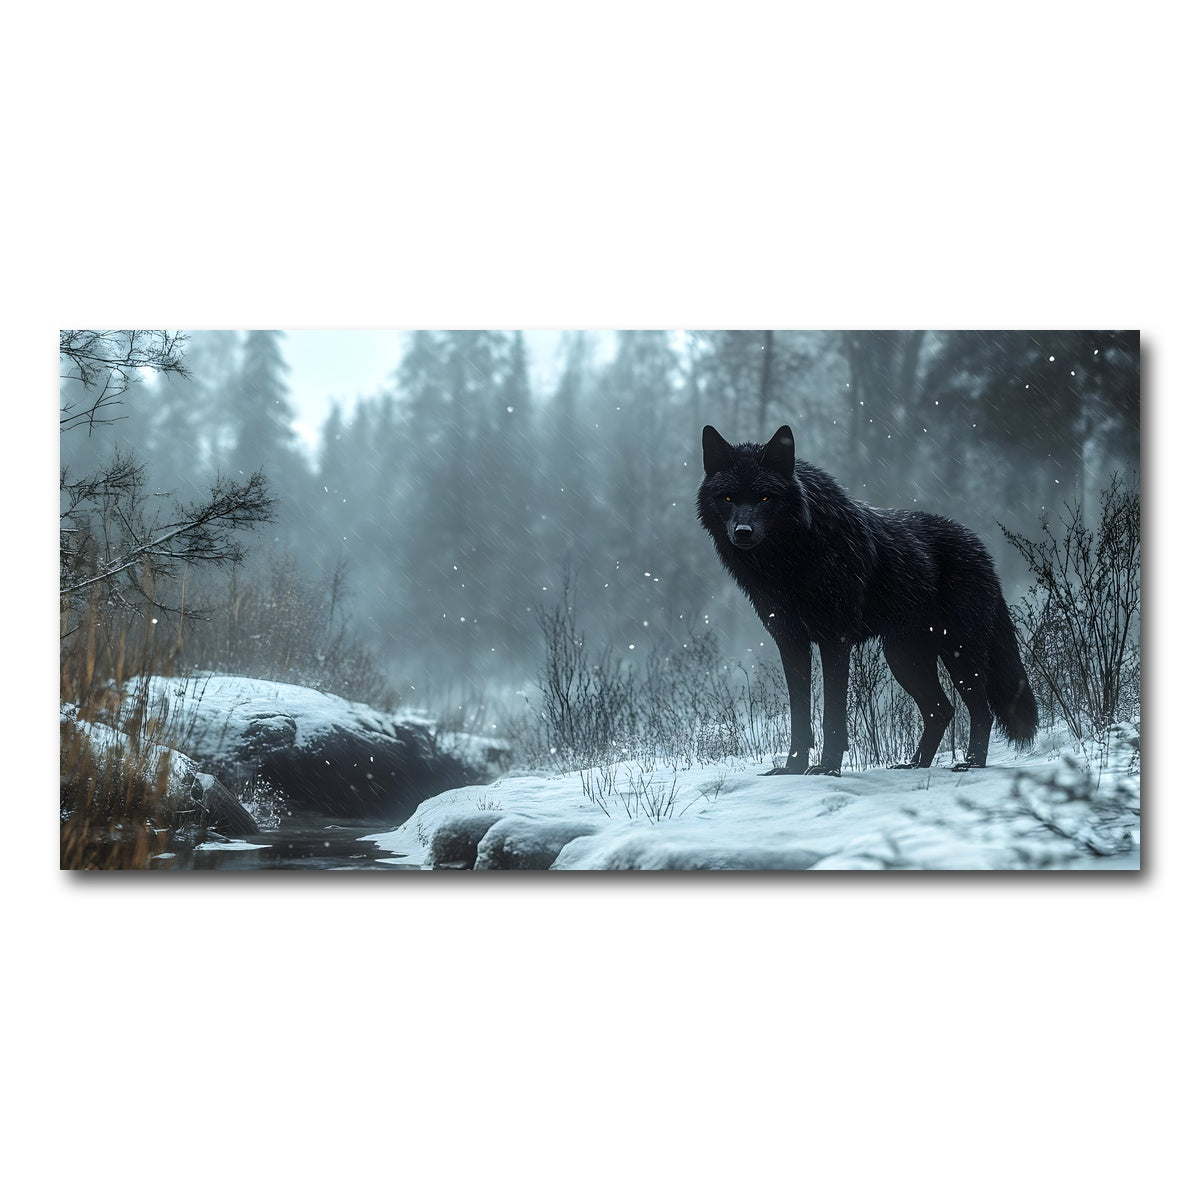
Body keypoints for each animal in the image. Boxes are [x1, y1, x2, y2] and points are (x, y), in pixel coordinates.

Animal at [697, 424, 1037, 775]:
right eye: (727, 498)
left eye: (765, 497)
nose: (743, 531)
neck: (789, 562)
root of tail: (982, 549)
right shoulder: (790, 642)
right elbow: (799, 716)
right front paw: (793, 769)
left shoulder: (835, 639)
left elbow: (832, 714)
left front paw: (827, 768)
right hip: (903, 657)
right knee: (941, 710)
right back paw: (915, 765)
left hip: (958, 653)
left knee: (980, 711)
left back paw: (970, 764)